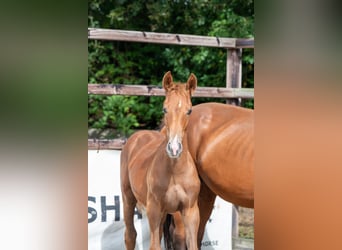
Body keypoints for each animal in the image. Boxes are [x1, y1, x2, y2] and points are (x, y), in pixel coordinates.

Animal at [121, 71, 199, 249]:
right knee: (130, 235)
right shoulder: (154, 210)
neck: (175, 172)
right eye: (164, 109)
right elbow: (154, 245)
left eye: (189, 111)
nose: (174, 148)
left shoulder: (190, 211)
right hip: (128, 197)